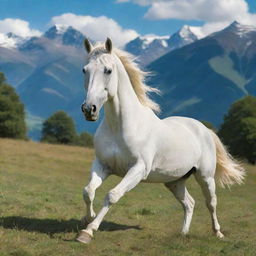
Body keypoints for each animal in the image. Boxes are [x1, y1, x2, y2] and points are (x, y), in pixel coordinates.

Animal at [77, 38, 245, 244]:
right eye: (85, 70)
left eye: (108, 70)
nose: (89, 109)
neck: (121, 126)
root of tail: (205, 130)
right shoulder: (102, 165)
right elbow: (88, 191)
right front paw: (87, 218)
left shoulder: (138, 169)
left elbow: (112, 195)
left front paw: (88, 231)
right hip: (175, 181)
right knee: (189, 203)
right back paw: (182, 234)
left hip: (205, 177)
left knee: (211, 202)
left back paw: (218, 233)